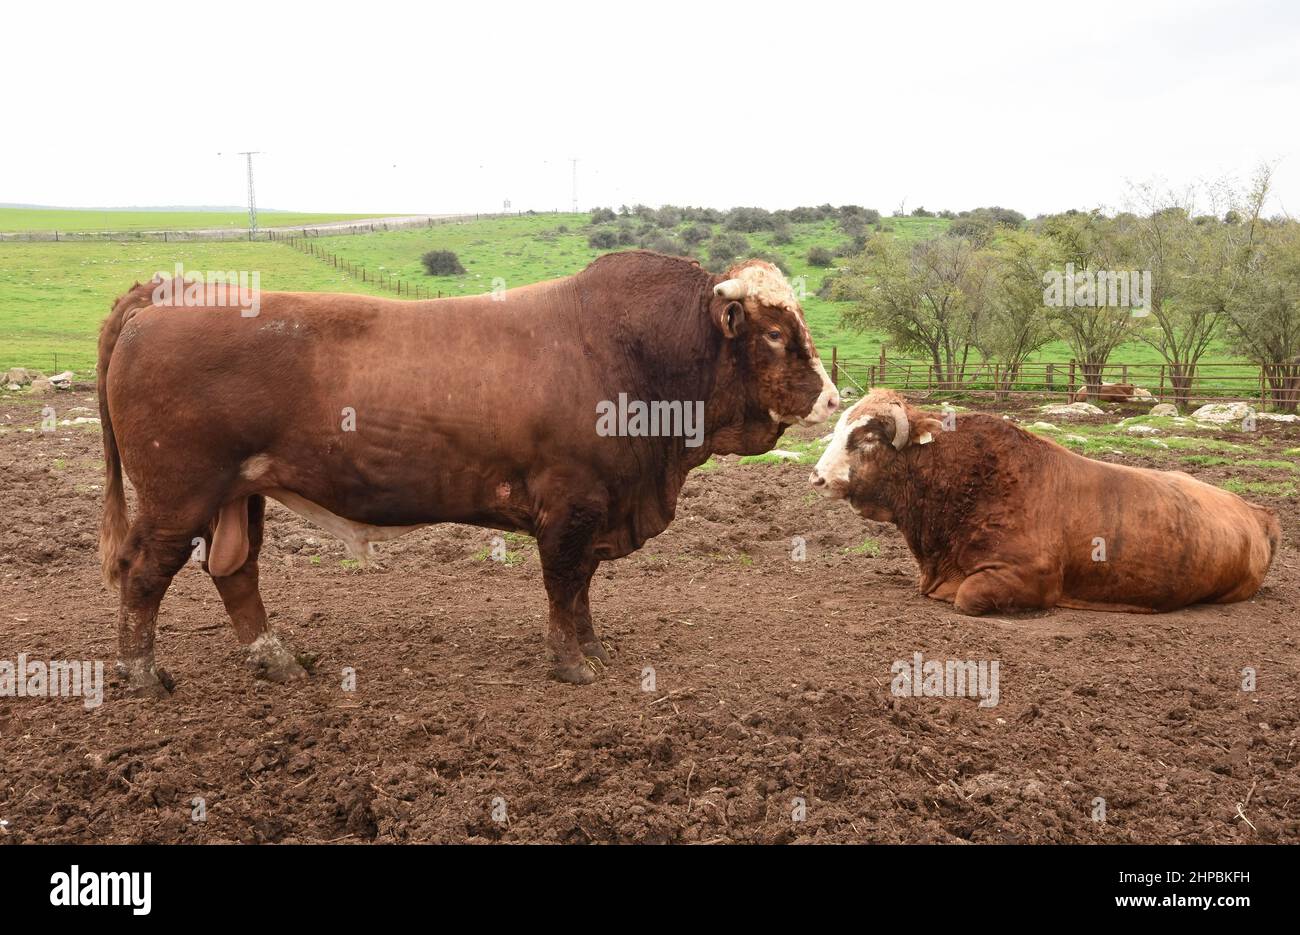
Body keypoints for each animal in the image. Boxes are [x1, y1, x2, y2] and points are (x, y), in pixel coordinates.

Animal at [96, 252, 837, 691]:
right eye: (775, 333)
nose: (831, 397)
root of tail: (170, 292)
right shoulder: (569, 506)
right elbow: (563, 585)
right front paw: (571, 663)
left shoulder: (598, 506)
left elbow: (583, 589)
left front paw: (593, 648)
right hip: (178, 494)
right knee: (144, 571)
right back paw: (140, 673)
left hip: (238, 492)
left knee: (234, 571)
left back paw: (276, 657)